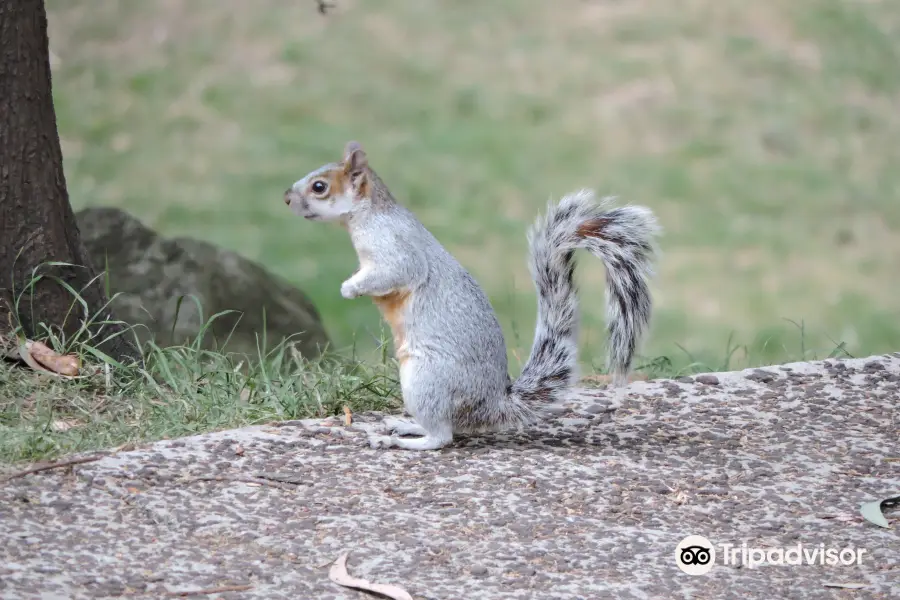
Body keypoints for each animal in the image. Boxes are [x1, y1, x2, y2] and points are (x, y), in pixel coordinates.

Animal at [284, 141, 656, 450]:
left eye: (319, 187)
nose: (286, 198)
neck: (368, 215)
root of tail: (492, 407)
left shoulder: (395, 249)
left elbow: (394, 273)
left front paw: (349, 288)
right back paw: (406, 426)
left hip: (426, 380)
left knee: (442, 437)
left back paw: (402, 441)